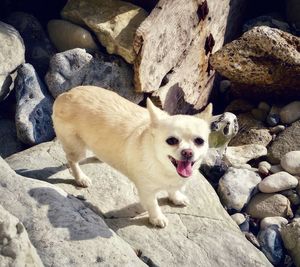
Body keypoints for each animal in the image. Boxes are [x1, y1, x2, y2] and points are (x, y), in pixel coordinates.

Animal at [51, 86, 211, 228]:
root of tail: (67, 94)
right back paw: (80, 178)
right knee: (72, 160)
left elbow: (172, 189)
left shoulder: (172, 182)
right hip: (77, 148)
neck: (165, 167)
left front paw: (176, 197)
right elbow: (153, 204)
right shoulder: (146, 191)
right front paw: (157, 218)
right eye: (171, 141)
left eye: (199, 141)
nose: (188, 152)